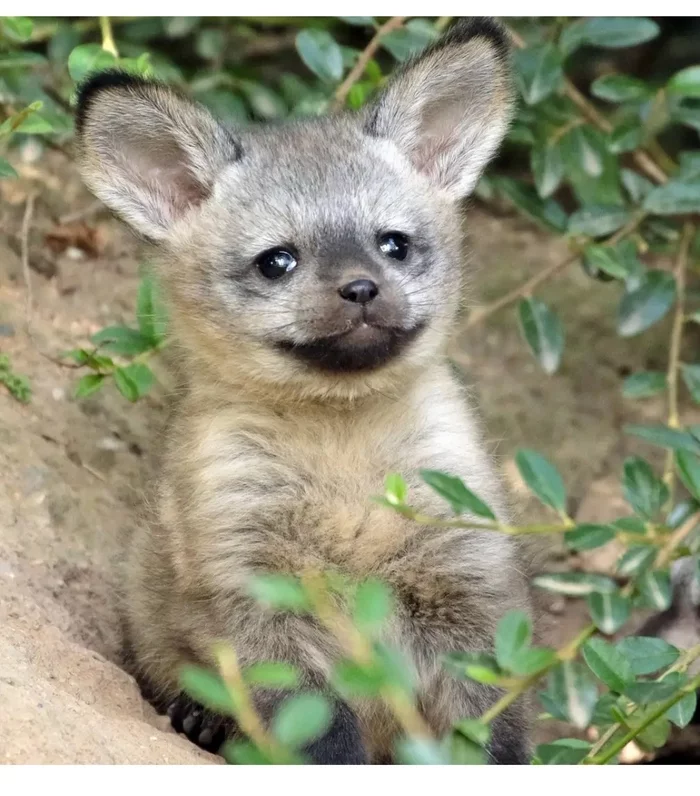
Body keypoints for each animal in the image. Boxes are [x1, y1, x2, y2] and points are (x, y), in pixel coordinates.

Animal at [75, 17, 532, 764]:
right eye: (277, 261)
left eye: (394, 245)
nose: (361, 288)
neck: (342, 460)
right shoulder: (252, 591)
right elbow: (320, 735)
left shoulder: (466, 579)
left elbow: (491, 734)